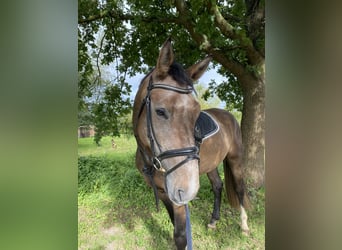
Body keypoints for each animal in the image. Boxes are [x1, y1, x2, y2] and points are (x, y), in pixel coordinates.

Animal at [132, 38, 250, 249]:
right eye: (160, 111)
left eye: (196, 111)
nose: (187, 189)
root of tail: (227, 114)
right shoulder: (165, 194)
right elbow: (175, 227)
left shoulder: (177, 198)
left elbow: (180, 235)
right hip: (211, 164)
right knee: (217, 186)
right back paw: (213, 221)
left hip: (235, 159)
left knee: (240, 189)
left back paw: (244, 226)